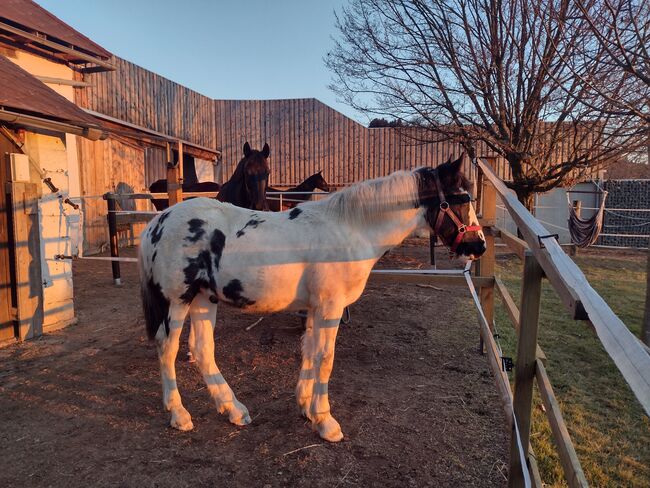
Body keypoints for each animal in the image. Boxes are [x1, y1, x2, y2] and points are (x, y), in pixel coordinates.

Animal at [139, 155, 484, 442]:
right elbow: (325, 358)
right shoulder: (331, 307)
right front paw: (325, 420)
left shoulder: (316, 307)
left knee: (202, 350)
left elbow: (309, 351)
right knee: (167, 348)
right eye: (462, 198)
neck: (350, 229)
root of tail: (158, 222)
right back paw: (179, 414)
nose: (478, 245)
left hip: (203, 299)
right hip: (178, 300)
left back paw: (234, 409)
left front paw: (306, 406)